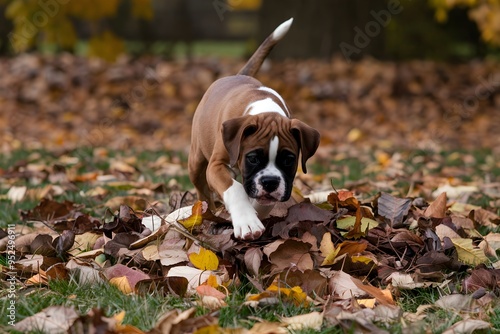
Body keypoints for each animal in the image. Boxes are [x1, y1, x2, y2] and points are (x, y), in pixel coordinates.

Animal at [188, 18, 320, 239]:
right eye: (252, 158)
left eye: (289, 159)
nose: (270, 182)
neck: (265, 110)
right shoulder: (215, 166)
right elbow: (234, 189)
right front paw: (247, 221)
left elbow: (261, 201)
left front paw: (254, 213)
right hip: (197, 163)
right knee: (203, 191)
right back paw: (209, 215)